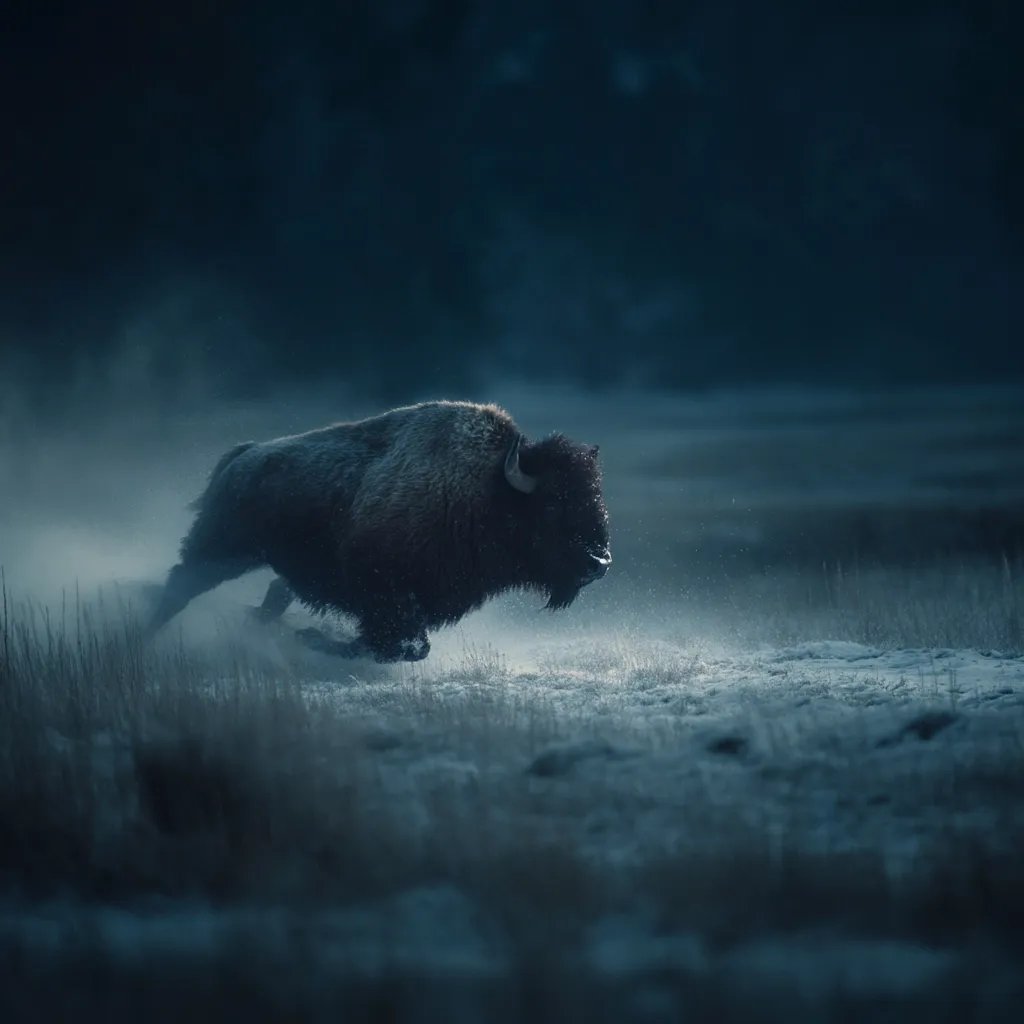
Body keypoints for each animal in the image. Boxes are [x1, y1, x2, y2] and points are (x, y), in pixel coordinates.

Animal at [146, 400, 611, 661]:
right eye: (552, 503)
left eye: (595, 496)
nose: (599, 562)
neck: (488, 489)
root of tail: (243, 456)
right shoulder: (386, 592)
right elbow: (407, 646)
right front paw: (316, 638)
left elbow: (405, 646)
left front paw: (318, 638)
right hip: (224, 550)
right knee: (181, 583)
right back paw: (148, 631)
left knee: (272, 594)